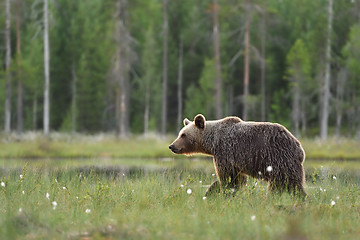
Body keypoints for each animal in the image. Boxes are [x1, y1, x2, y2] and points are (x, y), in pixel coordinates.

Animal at [169, 113, 306, 198]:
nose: (172, 146)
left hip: (280, 159)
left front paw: (221, 191)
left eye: (183, 135)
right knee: (280, 185)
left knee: (292, 184)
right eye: (180, 133)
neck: (212, 142)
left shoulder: (224, 151)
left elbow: (227, 176)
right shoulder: (235, 160)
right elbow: (238, 178)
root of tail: (299, 147)